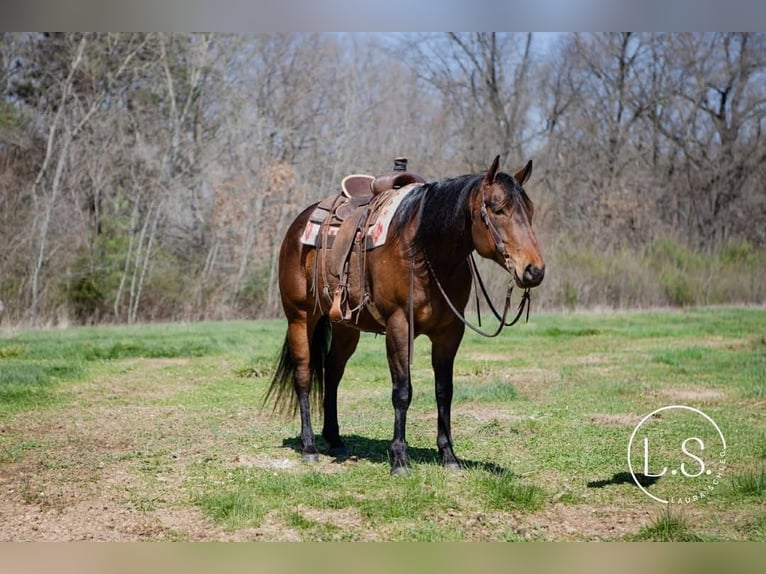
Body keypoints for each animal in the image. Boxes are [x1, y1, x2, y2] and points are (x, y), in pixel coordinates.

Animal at [265, 155, 545, 475]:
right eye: (498, 210)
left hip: (347, 328)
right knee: (303, 376)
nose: (534, 270)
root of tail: (298, 225)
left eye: (530, 211)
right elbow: (402, 391)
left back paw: (334, 440)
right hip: (299, 318)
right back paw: (309, 446)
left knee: (333, 373)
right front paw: (399, 458)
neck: (423, 251)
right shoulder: (399, 325)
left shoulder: (450, 333)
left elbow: (444, 391)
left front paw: (449, 456)